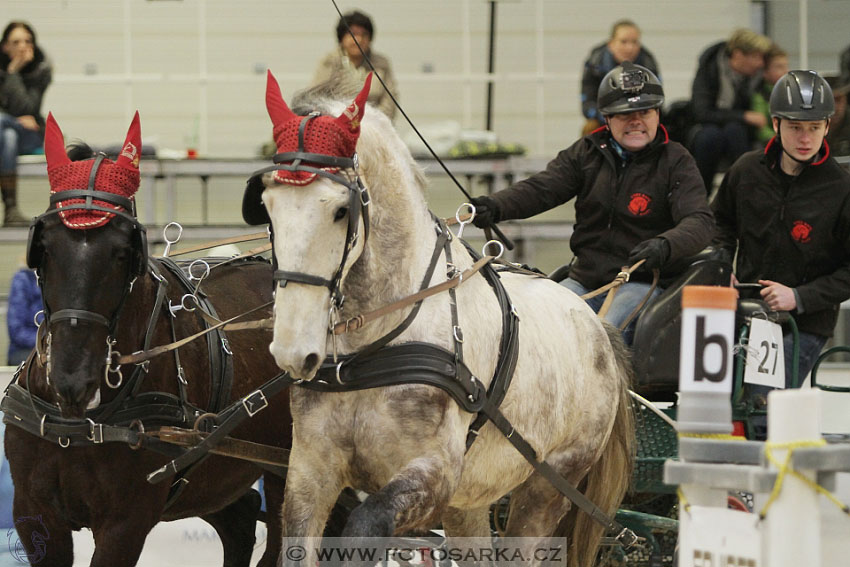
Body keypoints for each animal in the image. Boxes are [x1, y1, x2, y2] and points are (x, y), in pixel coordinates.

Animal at [0, 112, 288, 567]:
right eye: (44, 246)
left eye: (122, 251)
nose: (72, 380)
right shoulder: (34, 515)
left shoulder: (125, 522)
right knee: (241, 524)